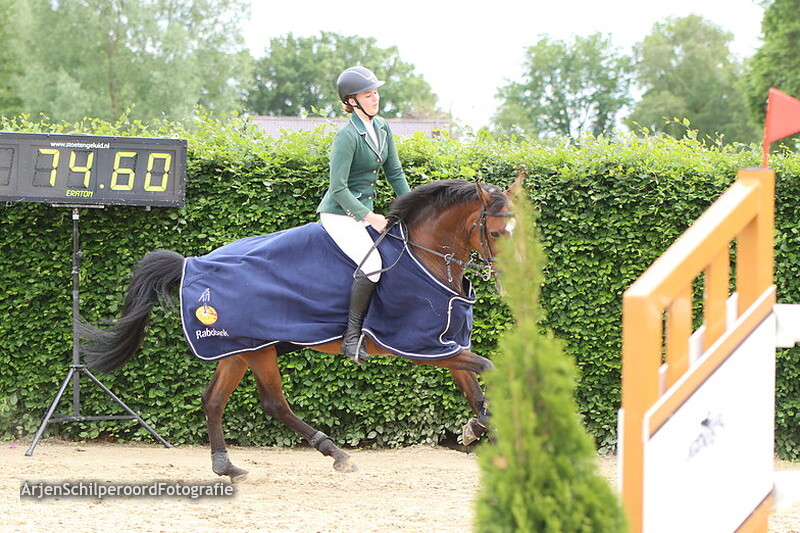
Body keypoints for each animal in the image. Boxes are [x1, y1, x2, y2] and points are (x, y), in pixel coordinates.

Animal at [78, 178, 517, 482]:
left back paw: (226, 466)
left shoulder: (446, 346)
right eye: (496, 232)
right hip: (257, 350)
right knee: (274, 403)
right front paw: (483, 428)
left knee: (214, 401)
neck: (427, 257)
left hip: (239, 348)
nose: (513, 277)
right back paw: (336, 454)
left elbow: (476, 390)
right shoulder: (421, 346)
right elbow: (489, 369)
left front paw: (483, 431)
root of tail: (194, 264)